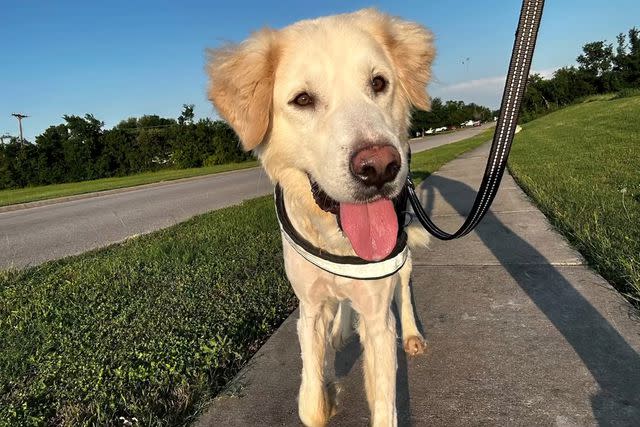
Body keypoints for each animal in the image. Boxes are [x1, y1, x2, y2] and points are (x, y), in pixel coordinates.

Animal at [209, 9, 436, 424]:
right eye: (302, 99)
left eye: (379, 83)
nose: (379, 167)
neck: (336, 238)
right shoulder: (309, 308)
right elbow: (311, 402)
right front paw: (327, 393)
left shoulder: (378, 317)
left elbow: (385, 404)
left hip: (402, 255)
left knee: (404, 289)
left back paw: (412, 334)